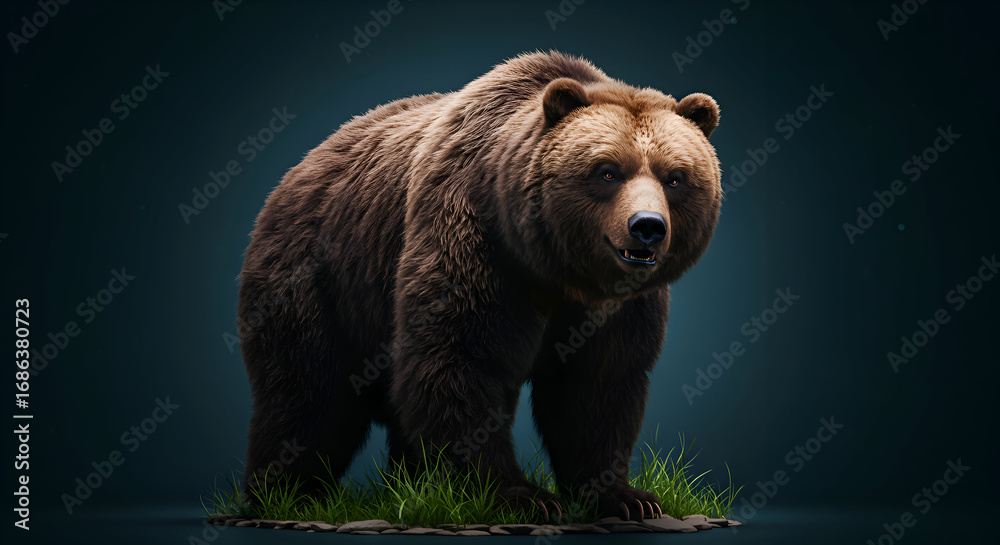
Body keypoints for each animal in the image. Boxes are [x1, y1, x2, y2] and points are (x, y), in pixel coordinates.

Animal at [237, 51, 722, 522]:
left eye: (675, 177)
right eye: (607, 171)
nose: (647, 227)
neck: (553, 268)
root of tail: (296, 172)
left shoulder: (615, 306)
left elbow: (599, 382)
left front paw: (626, 497)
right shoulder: (473, 239)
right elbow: (462, 359)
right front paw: (520, 496)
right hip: (318, 279)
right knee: (307, 395)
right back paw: (285, 495)